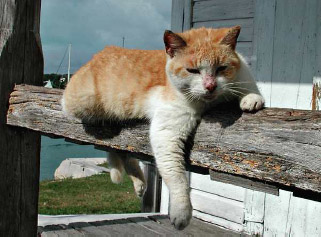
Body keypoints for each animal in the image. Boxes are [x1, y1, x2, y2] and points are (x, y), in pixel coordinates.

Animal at [61, 25, 264, 230]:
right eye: (192, 70)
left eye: (221, 68)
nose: (210, 86)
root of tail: (100, 52)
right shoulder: (166, 132)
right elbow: (176, 176)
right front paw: (181, 212)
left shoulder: (243, 74)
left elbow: (249, 88)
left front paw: (251, 98)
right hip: (85, 103)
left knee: (122, 152)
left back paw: (139, 183)